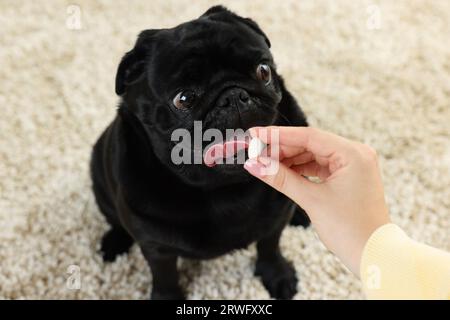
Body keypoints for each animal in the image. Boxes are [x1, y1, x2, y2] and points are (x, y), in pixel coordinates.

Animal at [90, 5, 310, 300]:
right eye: (183, 99)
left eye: (263, 71)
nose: (233, 95)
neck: (223, 186)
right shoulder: (155, 246)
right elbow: (164, 275)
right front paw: (167, 297)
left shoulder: (275, 221)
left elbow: (270, 247)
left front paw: (277, 275)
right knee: (113, 219)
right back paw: (114, 242)